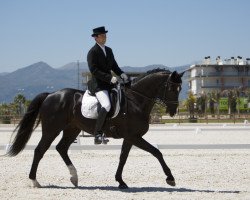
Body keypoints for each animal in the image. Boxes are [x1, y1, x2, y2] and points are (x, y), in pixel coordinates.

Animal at [6, 68, 184, 189]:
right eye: (171, 88)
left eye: (180, 89)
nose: (173, 111)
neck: (136, 100)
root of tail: (50, 95)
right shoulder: (134, 137)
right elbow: (156, 152)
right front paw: (170, 178)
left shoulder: (130, 137)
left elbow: (123, 158)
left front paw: (120, 181)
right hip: (52, 129)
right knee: (40, 150)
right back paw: (34, 181)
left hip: (72, 129)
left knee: (61, 148)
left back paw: (74, 178)